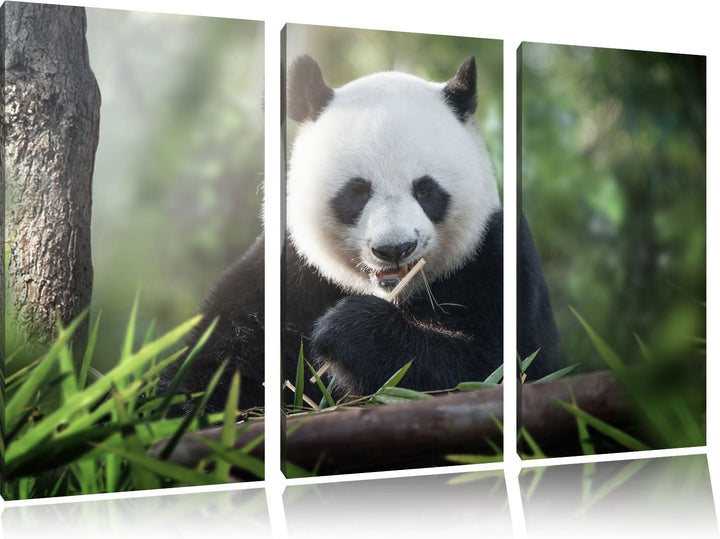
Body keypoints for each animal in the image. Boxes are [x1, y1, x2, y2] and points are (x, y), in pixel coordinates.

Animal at [162, 55, 562, 412]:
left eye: (426, 189)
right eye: (356, 191)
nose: (395, 248)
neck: (393, 294)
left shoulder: (494, 260)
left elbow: (498, 367)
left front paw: (349, 330)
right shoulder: (286, 274)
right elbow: (215, 360)